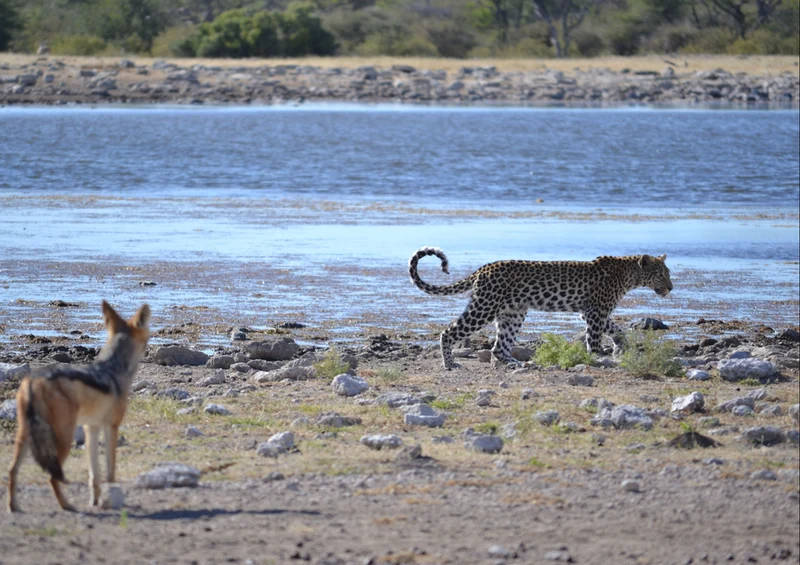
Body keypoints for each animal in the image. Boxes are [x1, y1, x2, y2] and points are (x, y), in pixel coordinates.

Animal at [408, 247, 673, 370]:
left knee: (499, 346)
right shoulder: (595, 312)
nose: (671, 288)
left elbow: (617, 329)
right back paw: (450, 363)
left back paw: (518, 364)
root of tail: (483, 268)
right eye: (661, 274)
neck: (629, 276)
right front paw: (597, 357)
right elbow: (595, 338)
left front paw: (621, 346)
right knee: (449, 332)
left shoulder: (591, 311)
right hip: (485, 307)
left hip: (513, 313)